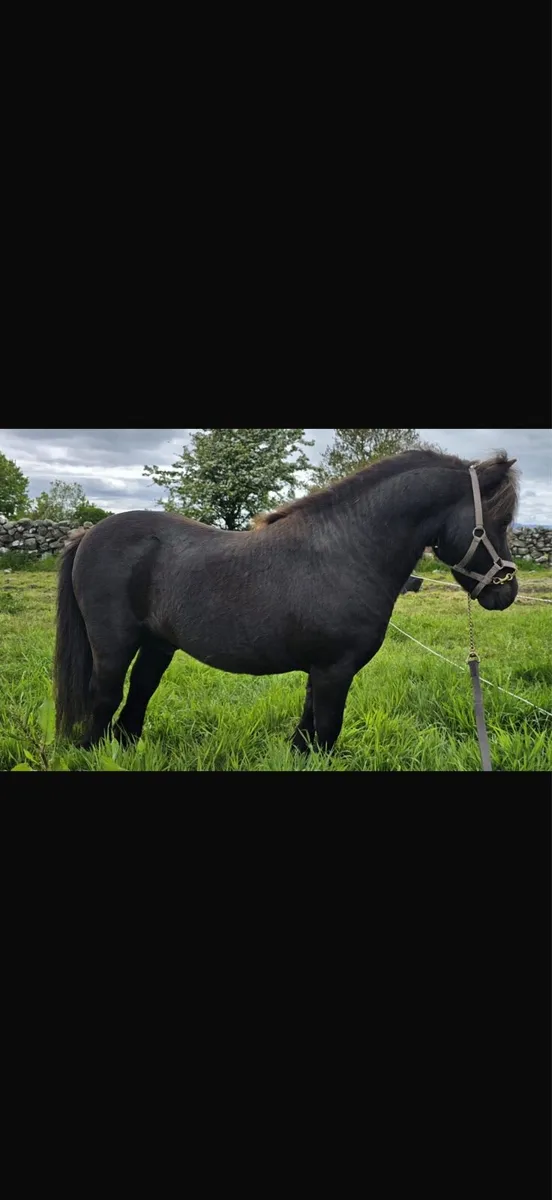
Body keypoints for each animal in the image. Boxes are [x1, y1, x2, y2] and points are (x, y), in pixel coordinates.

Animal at [54, 448, 519, 754]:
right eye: (497, 521)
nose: (506, 591)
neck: (347, 552)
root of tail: (88, 534)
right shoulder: (335, 670)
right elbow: (327, 730)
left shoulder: (322, 670)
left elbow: (308, 730)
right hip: (114, 646)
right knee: (105, 697)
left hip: (157, 645)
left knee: (138, 696)